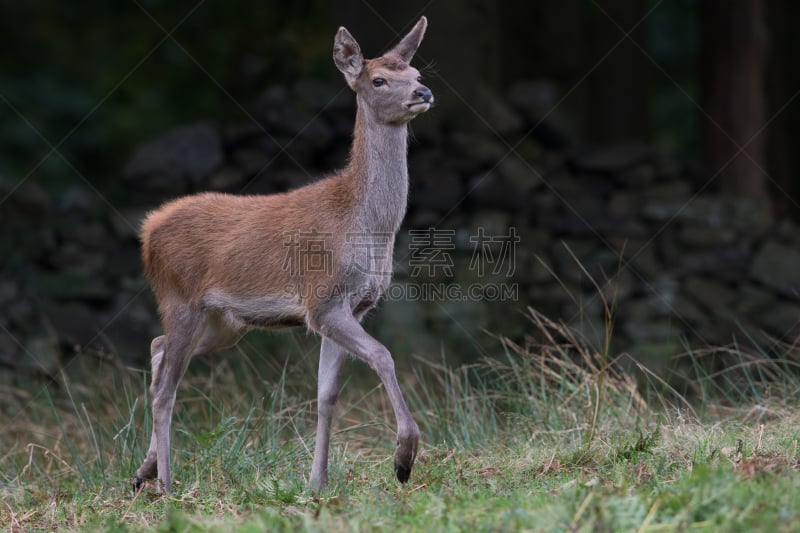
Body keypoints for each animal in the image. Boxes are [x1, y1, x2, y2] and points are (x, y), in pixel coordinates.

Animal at [131, 16, 434, 492]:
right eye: (379, 79)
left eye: (417, 72)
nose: (423, 92)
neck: (365, 226)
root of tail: (147, 231)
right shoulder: (323, 299)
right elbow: (383, 355)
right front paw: (403, 458)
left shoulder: (354, 306)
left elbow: (327, 394)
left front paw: (317, 483)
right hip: (179, 299)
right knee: (165, 389)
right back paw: (166, 484)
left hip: (224, 322)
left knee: (158, 349)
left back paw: (142, 471)